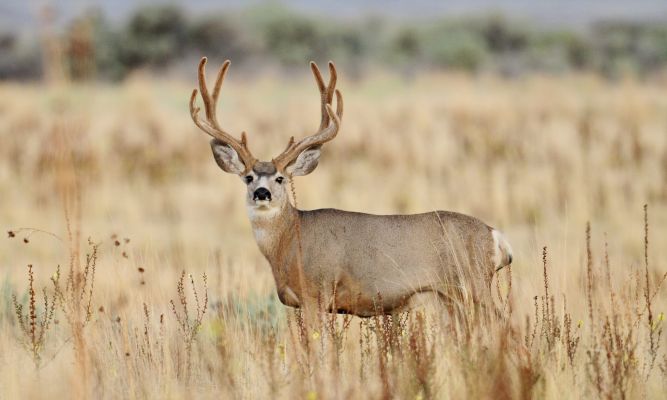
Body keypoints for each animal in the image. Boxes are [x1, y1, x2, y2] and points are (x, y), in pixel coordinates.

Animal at [189, 57, 513, 318]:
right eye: (248, 177)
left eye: (280, 178)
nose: (262, 193)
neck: (290, 241)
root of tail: (495, 235)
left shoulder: (317, 292)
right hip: (448, 299)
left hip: (473, 283)